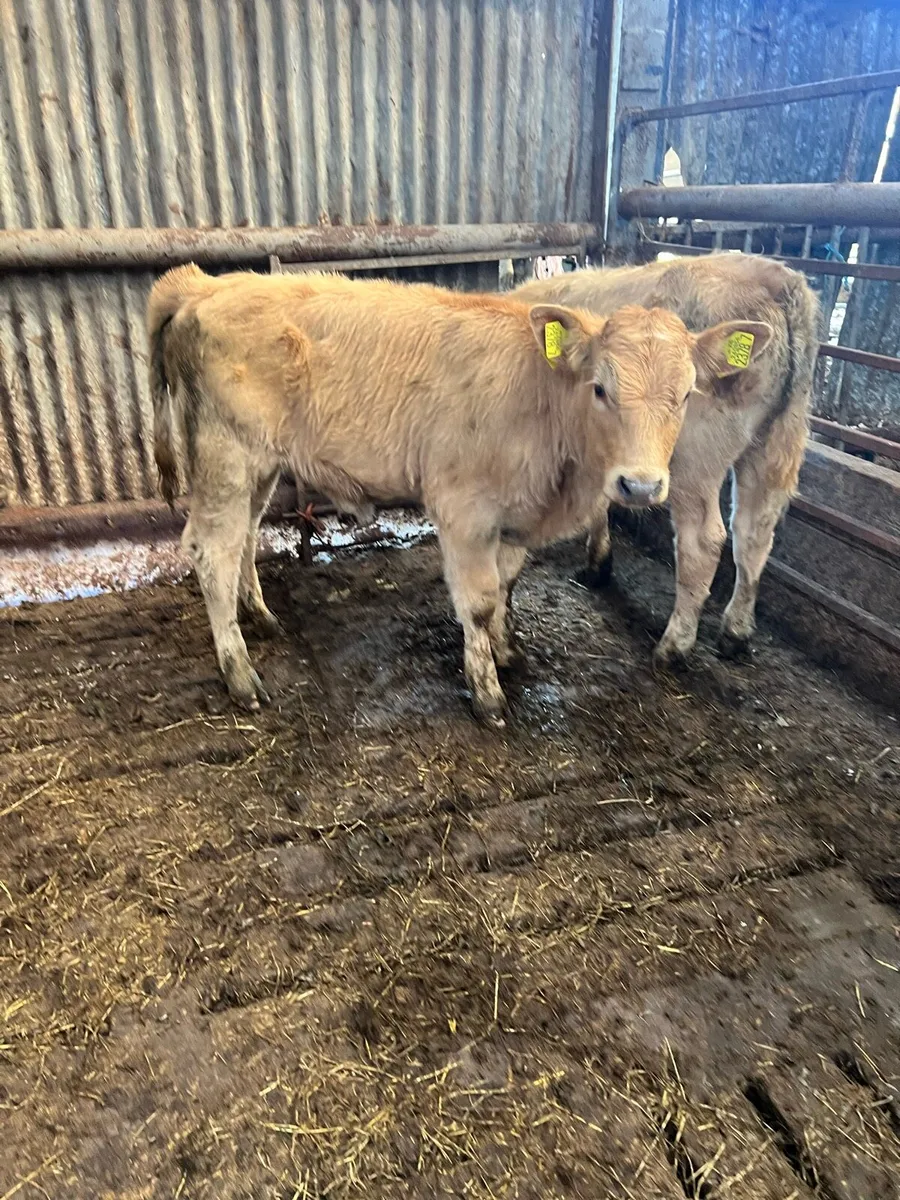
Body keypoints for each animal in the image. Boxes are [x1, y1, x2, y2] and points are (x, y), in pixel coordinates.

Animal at [148, 265, 774, 724]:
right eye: (600, 388)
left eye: (687, 394)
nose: (640, 485)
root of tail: (207, 283)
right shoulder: (464, 511)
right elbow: (478, 601)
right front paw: (487, 691)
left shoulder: (515, 516)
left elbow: (505, 586)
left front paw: (507, 652)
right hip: (227, 458)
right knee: (211, 550)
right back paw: (239, 674)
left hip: (260, 468)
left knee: (244, 537)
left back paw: (259, 617)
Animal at [514, 254, 818, 665]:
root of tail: (777, 281)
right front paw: (599, 563)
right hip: (776, 442)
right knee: (754, 533)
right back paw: (736, 632)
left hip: (695, 459)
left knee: (704, 540)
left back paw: (675, 644)